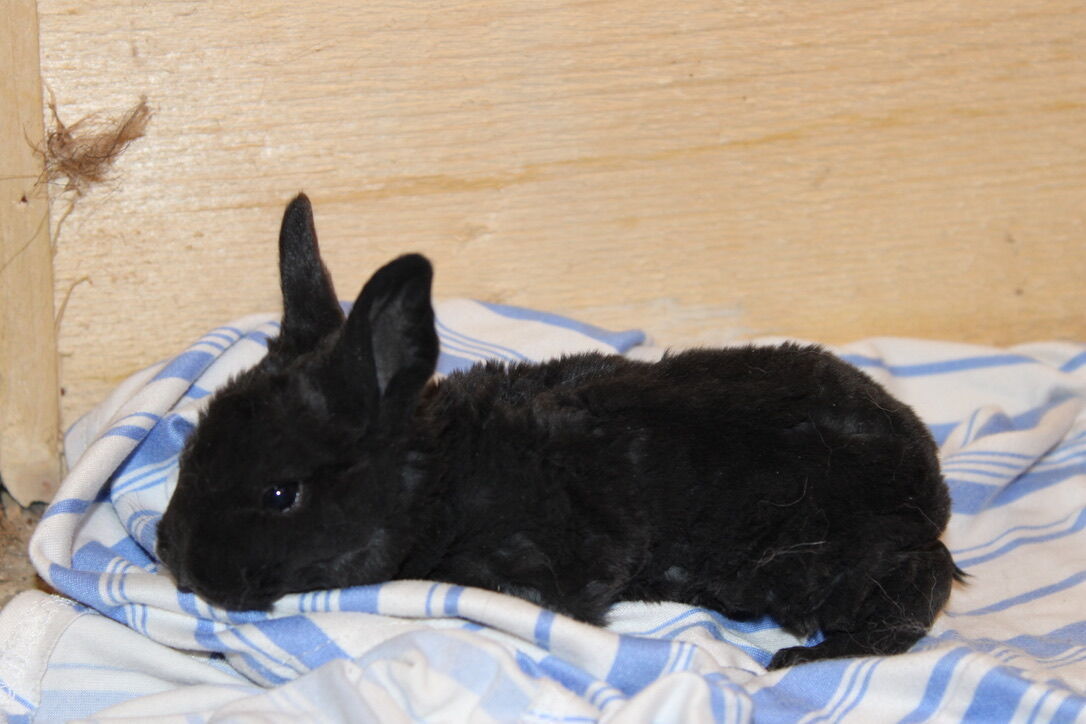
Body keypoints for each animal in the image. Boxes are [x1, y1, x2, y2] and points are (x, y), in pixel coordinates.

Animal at [156, 193, 963, 670]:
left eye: (281, 494)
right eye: (190, 451)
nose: (173, 557)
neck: (445, 477)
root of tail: (928, 481)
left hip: (838, 561)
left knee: (916, 596)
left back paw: (806, 658)